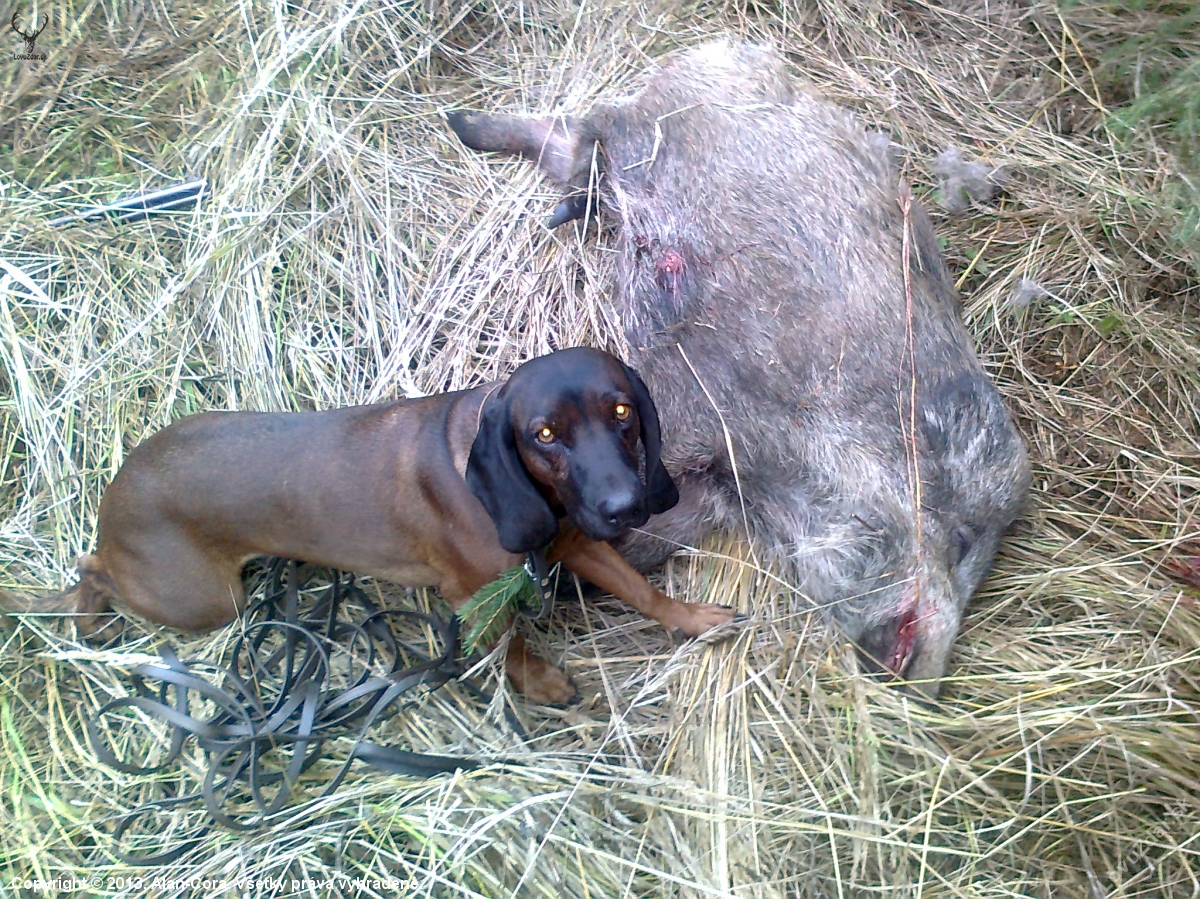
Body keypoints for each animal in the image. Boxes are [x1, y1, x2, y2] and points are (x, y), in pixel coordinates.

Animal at [21, 348, 737, 704]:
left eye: (621, 411)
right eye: (544, 435)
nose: (625, 506)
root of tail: (116, 492)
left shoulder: (575, 539)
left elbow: (643, 592)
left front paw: (693, 619)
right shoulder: (470, 596)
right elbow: (510, 645)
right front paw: (540, 685)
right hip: (207, 600)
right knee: (92, 569)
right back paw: (83, 613)